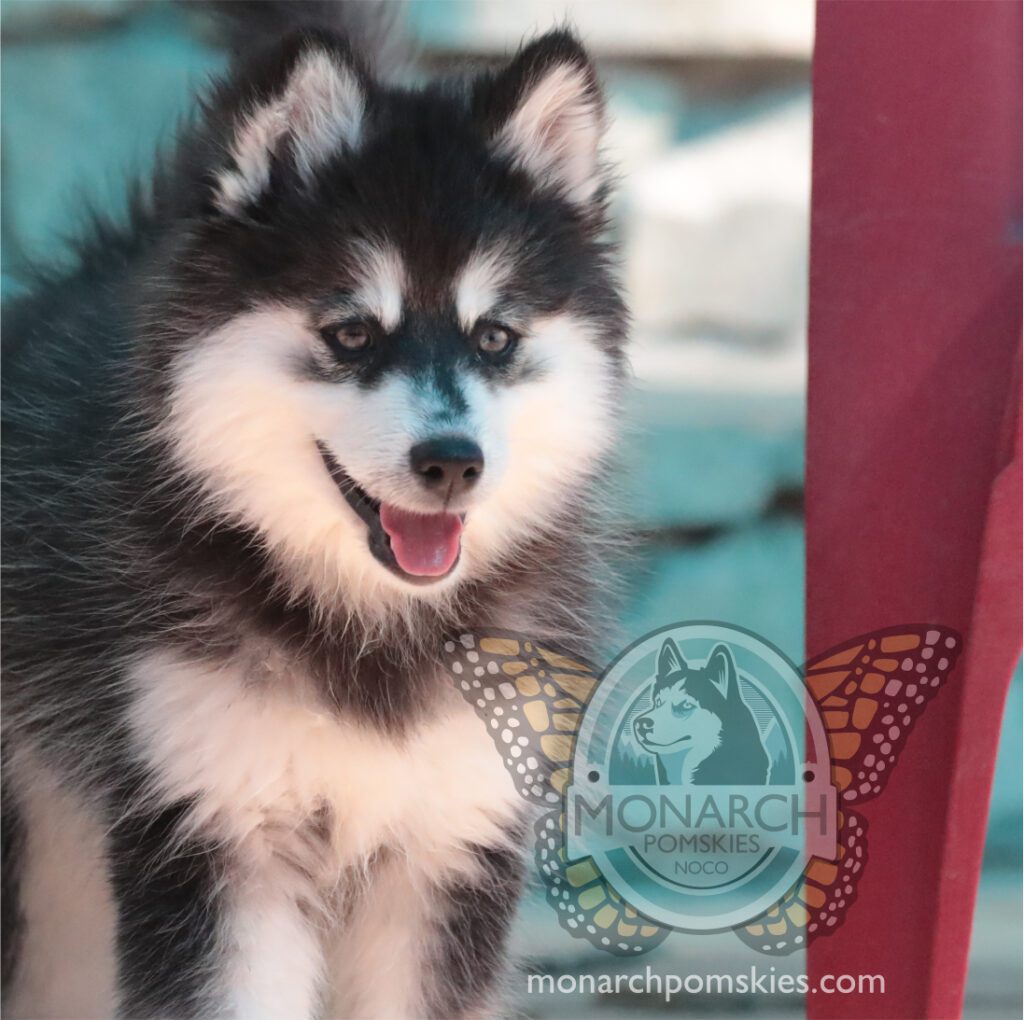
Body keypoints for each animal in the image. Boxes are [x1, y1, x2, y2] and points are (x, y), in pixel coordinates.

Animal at [0, 3, 626, 1015]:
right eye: (353, 333)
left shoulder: (450, 837)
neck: (368, 632)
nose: (452, 463)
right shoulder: (219, 828)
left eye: (495, 338)